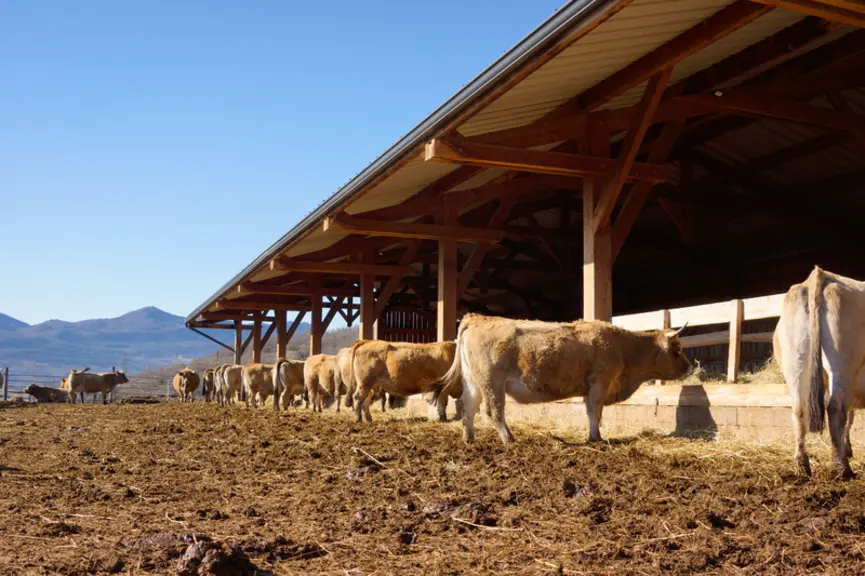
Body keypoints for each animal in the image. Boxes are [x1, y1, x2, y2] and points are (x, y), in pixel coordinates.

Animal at [430, 313, 692, 444]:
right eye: (677, 349)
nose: (691, 367)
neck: (622, 346)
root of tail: (477, 317)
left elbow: (591, 411)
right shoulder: (599, 382)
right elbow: (595, 411)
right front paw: (596, 438)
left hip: (473, 382)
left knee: (468, 407)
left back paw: (469, 439)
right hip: (492, 383)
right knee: (493, 412)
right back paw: (509, 439)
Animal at [773, 267, 865, 479]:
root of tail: (819, 275)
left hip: (796, 360)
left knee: (799, 410)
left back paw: (801, 466)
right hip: (842, 363)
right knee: (836, 408)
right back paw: (841, 468)